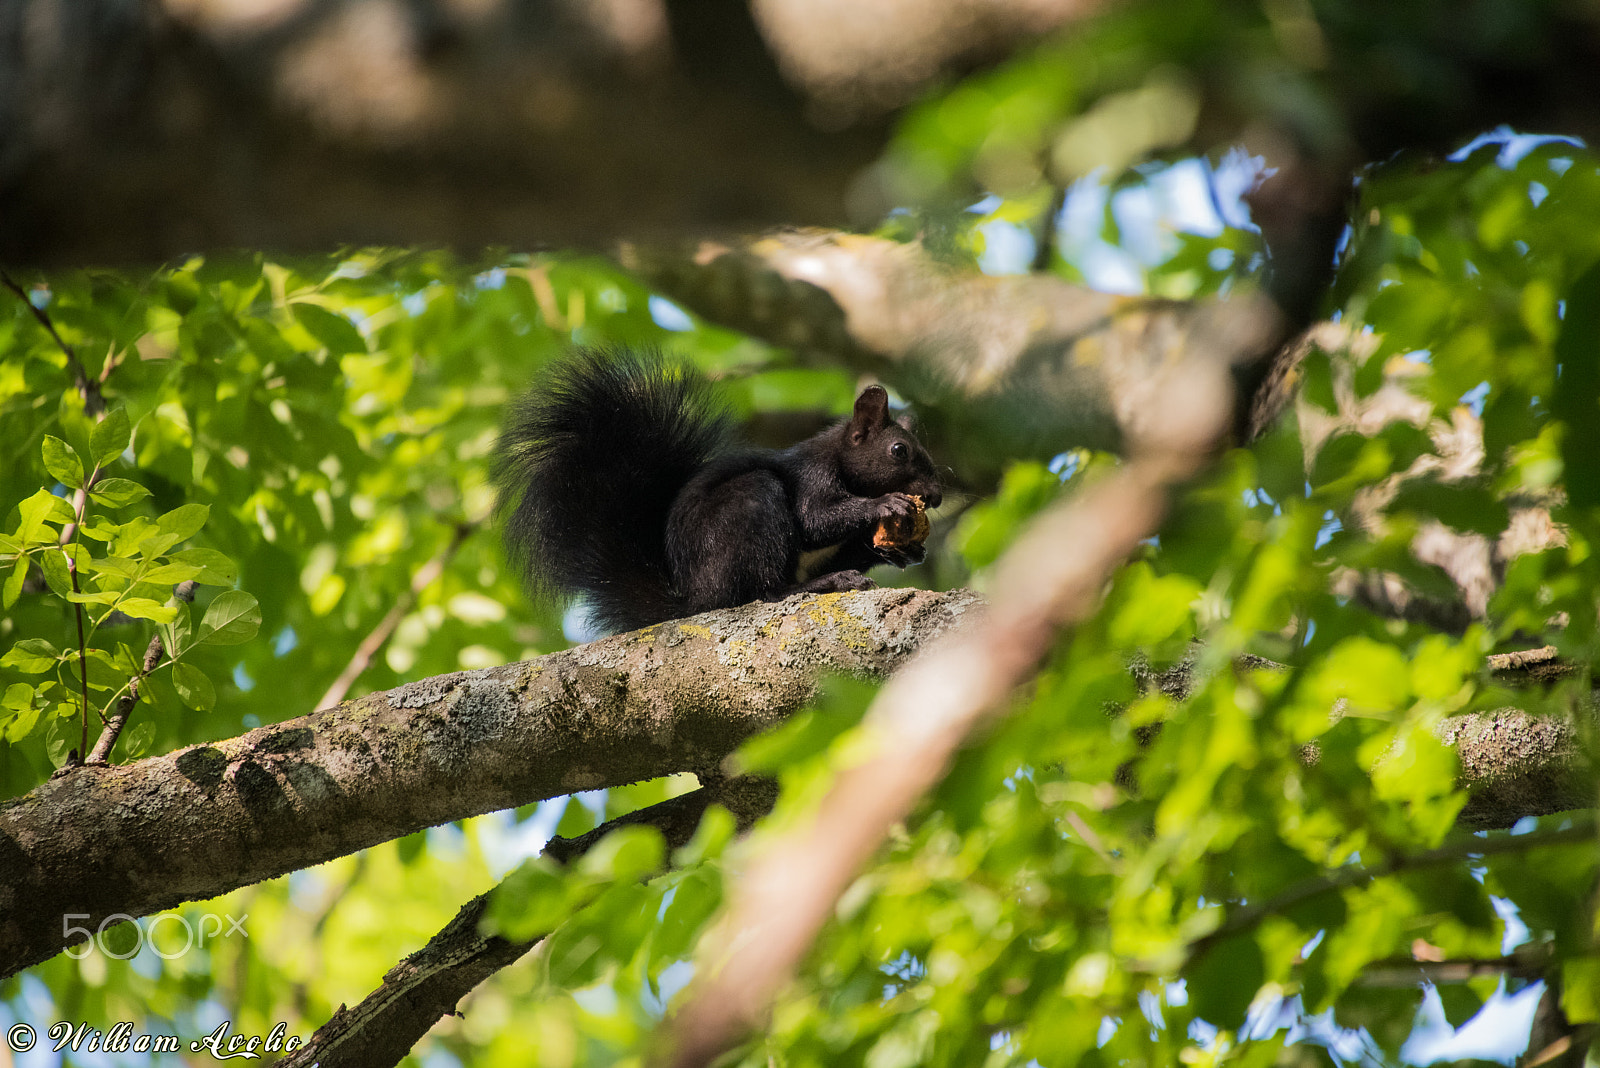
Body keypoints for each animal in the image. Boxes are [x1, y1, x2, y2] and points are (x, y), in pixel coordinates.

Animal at [492, 348, 940, 633]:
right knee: (762, 592)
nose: (935, 495)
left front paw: (902, 549)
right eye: (899, 450)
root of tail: (694, 602)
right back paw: (818, 584)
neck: (840, 457)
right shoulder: (813, 475)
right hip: (748, 511)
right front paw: (885, 503)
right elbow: (815, 520)